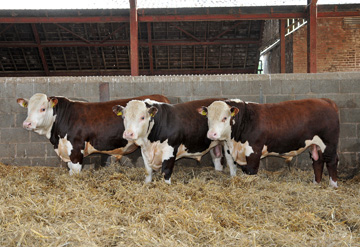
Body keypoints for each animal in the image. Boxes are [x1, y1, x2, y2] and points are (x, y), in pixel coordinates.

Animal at [200, 98, 340, 187]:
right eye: (207, 118)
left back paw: (333, 185)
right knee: (318, 161)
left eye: (224, 118)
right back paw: (316, 183)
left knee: (331, 161)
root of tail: (325, 101)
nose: (211, 134)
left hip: (329, 144)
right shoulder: (229, 152)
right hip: (314, 145)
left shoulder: (253, 152)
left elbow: (251, 171)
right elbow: (233, 169)